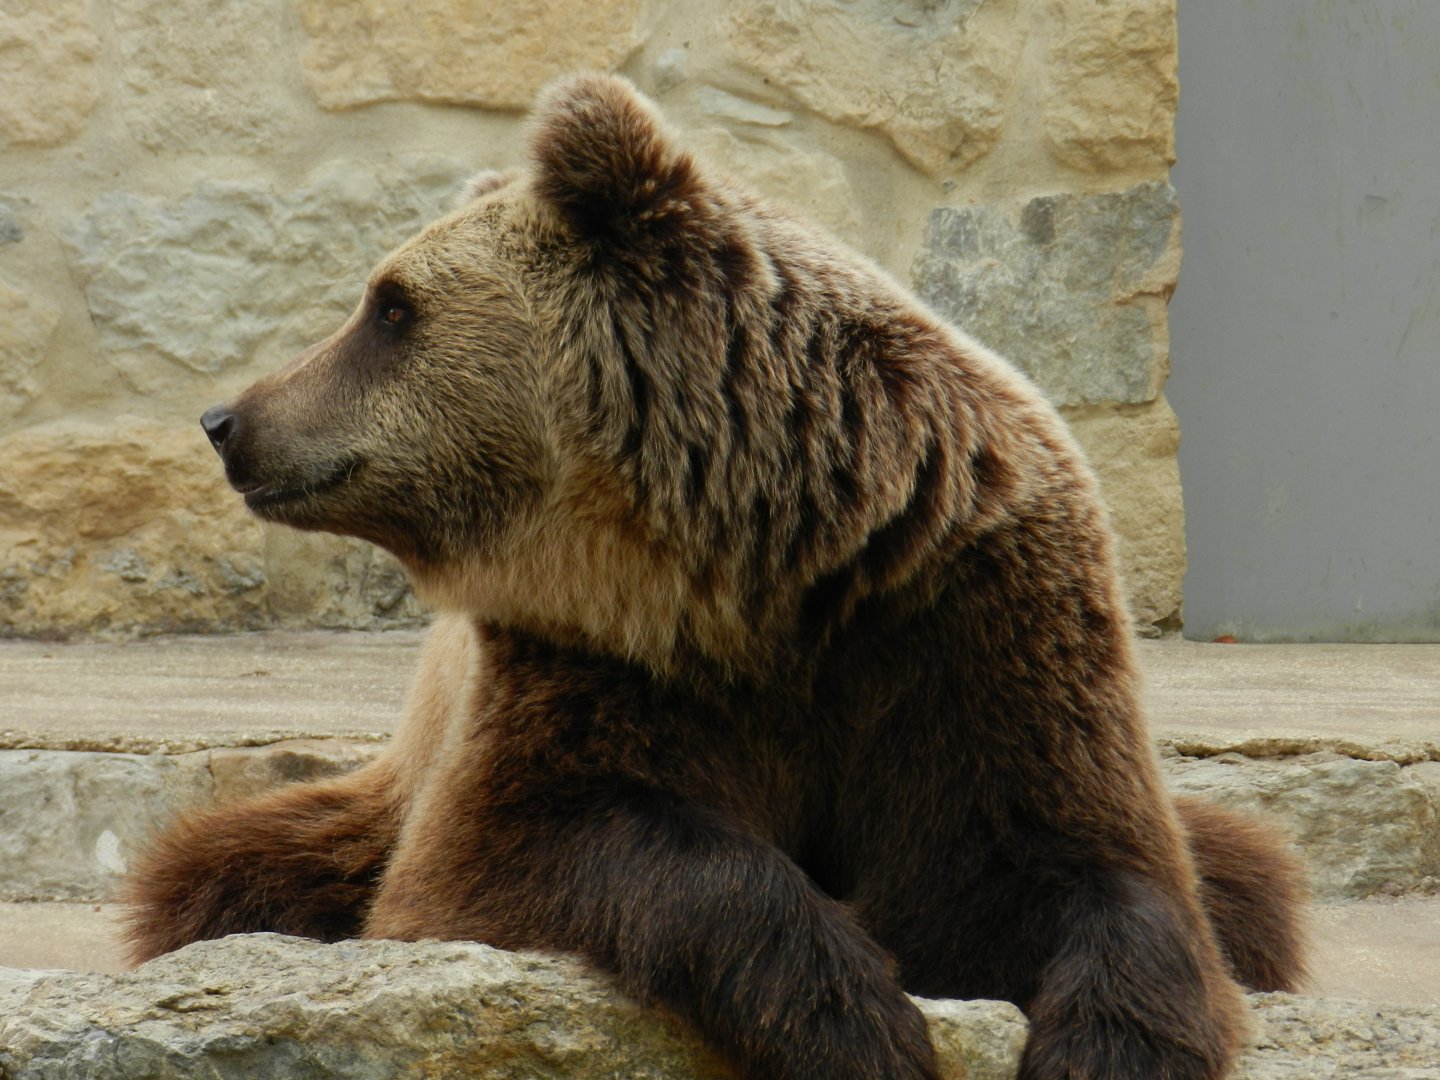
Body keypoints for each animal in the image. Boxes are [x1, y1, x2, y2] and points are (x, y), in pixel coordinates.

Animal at [126, 74, 1305, 1080]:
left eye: (390, 307)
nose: (230, 421)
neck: (769, 569)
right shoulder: (595, 656)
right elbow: (536, 849)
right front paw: (857, 1019)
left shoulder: (969, 624)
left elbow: (1087, 866)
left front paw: (1103, 1044)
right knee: (227, 865)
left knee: (1246, 872)